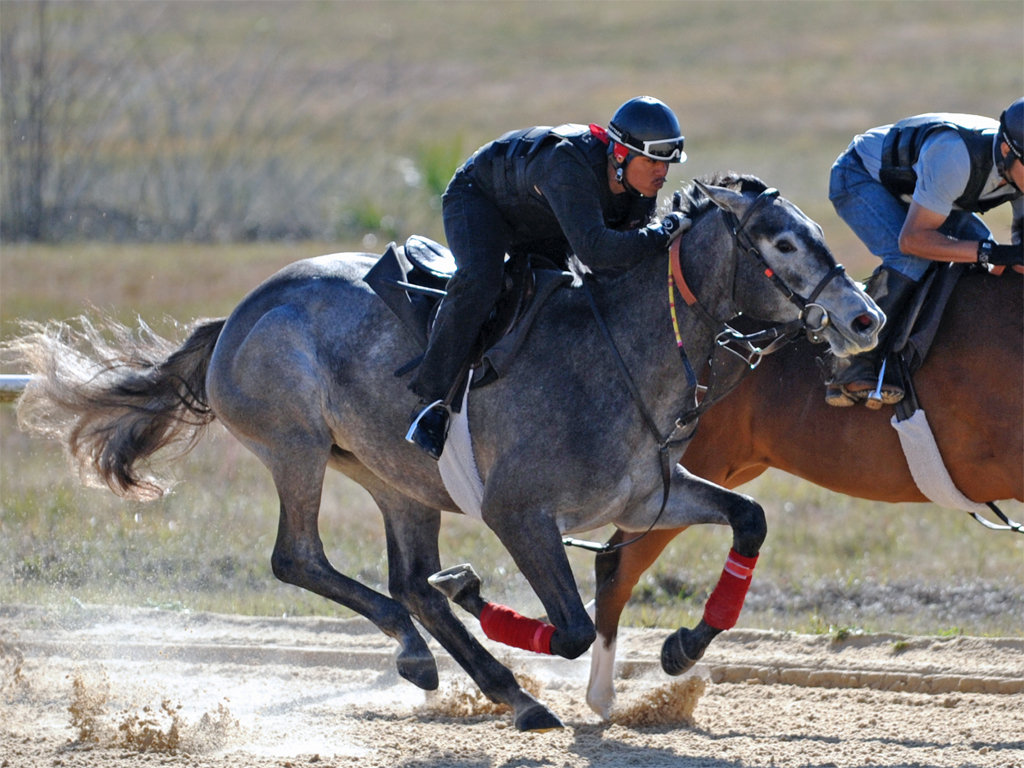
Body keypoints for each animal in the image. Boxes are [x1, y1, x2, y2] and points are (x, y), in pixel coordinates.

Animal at [6, 174, 880, 733]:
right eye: (782, 242)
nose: (864, 317)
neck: (624, 349)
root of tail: (240, 314)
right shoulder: (518, 513)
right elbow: (568, 629)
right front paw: (483, 602)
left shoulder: (646, 496)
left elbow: (749, 518)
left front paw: (682, 645)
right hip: (296, 447)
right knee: (302, 560)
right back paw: (430, 659)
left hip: (395, 480)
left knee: (407, 581)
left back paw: (493, 683)